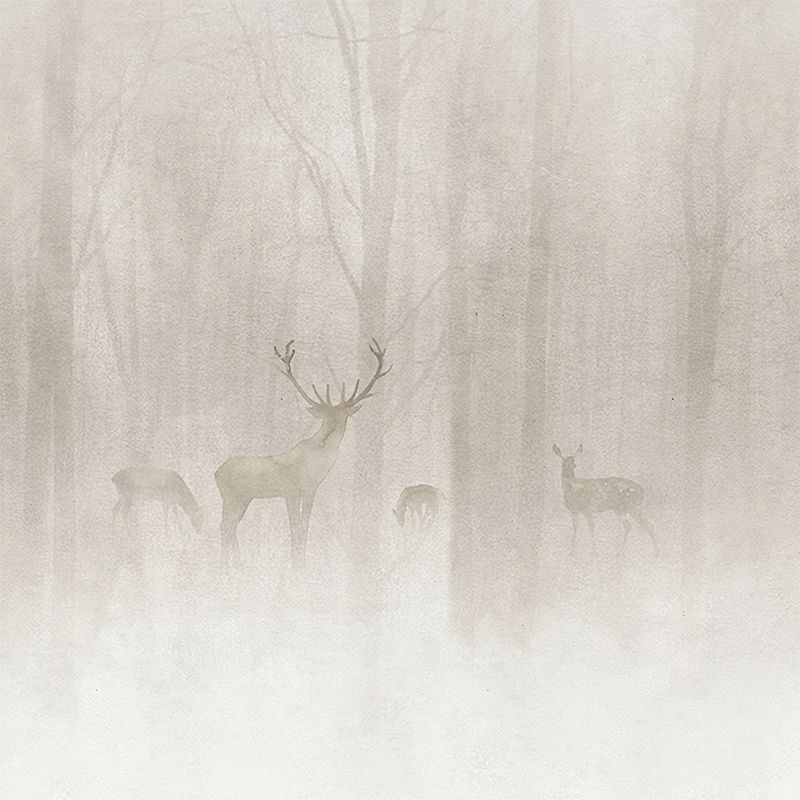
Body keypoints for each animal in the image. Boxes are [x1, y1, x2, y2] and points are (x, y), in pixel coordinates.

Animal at [214, 338, 391, 571]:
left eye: (341, 416)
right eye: (327, 416)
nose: (330, 430)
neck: (313, 466)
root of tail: (215, 473)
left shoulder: (311, 489)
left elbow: (305, 526)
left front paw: (302, 563)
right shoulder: (290, 489)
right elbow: (295, 527)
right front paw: (296, 566)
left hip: (243, 498)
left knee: (228, 526)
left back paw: (235, 564)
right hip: (231, 496)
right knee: (225, 526)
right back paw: (228, 565)